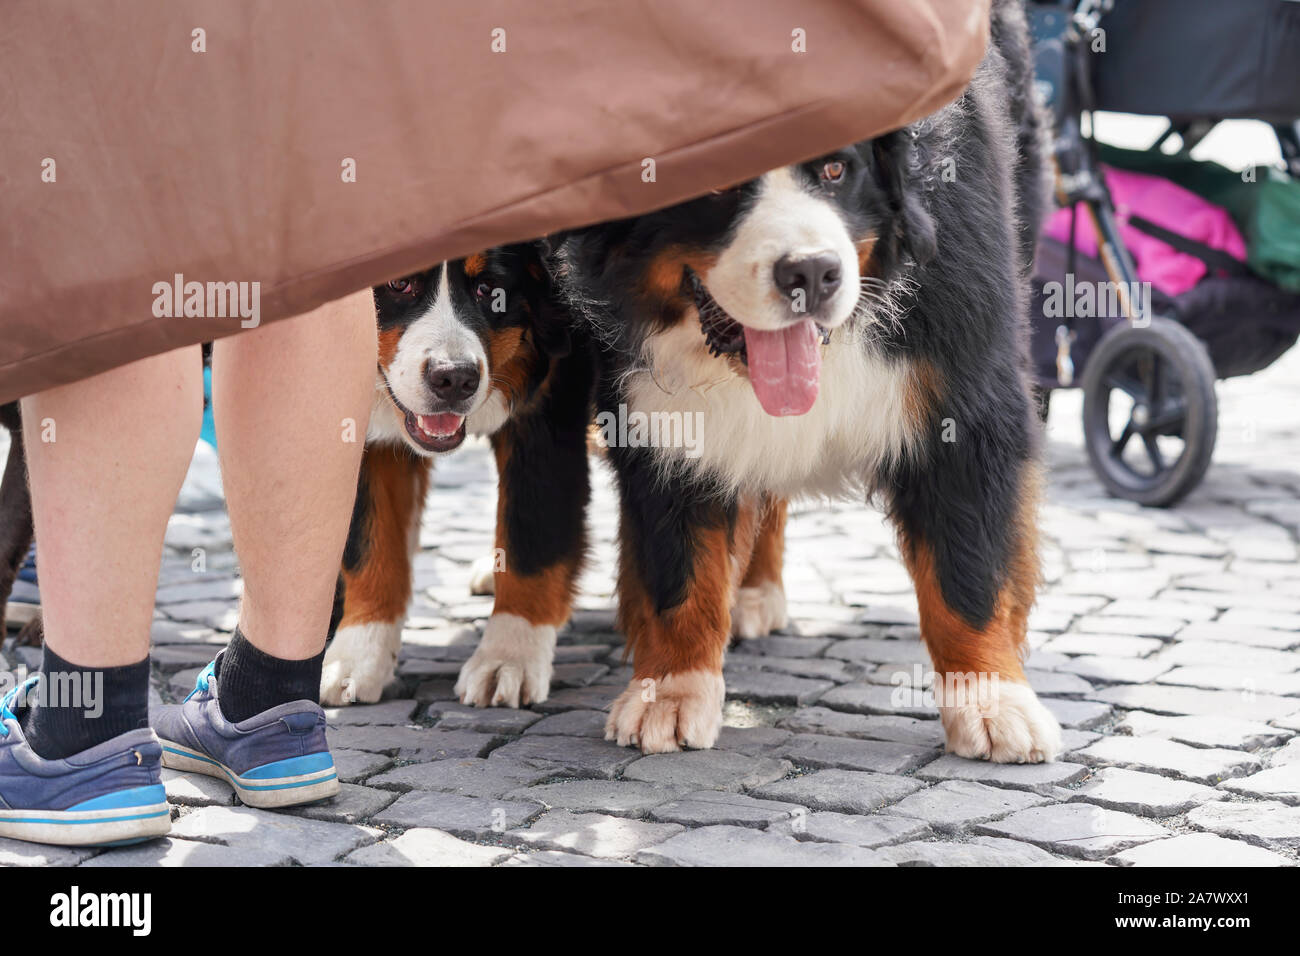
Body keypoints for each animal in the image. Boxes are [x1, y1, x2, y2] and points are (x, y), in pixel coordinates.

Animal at [319, 244, 595, 712]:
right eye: (398, 283)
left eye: (489, 289)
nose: (454, 378)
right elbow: (371, 545)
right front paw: (359, 654)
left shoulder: (547, 409)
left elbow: (532, 541)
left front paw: (510, 656)